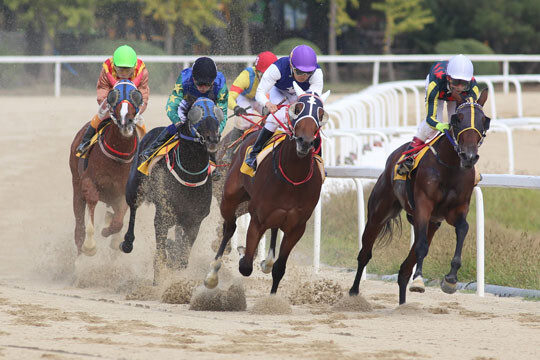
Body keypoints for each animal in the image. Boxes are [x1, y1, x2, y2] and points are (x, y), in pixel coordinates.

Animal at [69, 80, 143, 255]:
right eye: (113, 96)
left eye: (136, 96)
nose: (126, 121)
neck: (118, 156)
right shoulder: (88, 182)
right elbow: (92, 199)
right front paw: (90, 246)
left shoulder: (124, 192)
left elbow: (118, 223)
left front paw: (109, 233)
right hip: (76, 183)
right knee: (79, 226)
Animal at [122, 97, 221, 282]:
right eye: (196, 114)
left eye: (217, 113)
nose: (212, 139)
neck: (190, 174)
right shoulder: (163, 215)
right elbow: (161, 254)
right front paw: (159, 279)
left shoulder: (195, 220)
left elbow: (182, 258)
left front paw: (174, 257)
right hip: (134, 187)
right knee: (133, 208)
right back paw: (127, 242)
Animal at [204, 83, 326, 296]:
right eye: (297, 109)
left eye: (321, 113)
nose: (305, 141)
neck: (292, 178)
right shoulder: (258, 219)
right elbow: (245, 266)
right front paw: (245, 253)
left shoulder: (297, 227)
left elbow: (279, 267)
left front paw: (272, 297)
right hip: (230, 197)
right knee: (229, 227)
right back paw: (213, 273)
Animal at [348, 89, 492, 304]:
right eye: (457, 119)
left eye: (484, 120)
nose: (469, 156)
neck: (449, 166)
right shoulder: (424, 205)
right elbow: (422, 246)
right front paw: (418, 281)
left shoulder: (457, 209)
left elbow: (463, 229)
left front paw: (450, 280)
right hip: (379, 212)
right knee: (365, 253)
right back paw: (354, 292)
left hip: (432, 223)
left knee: (404, 269)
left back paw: (402, 304)